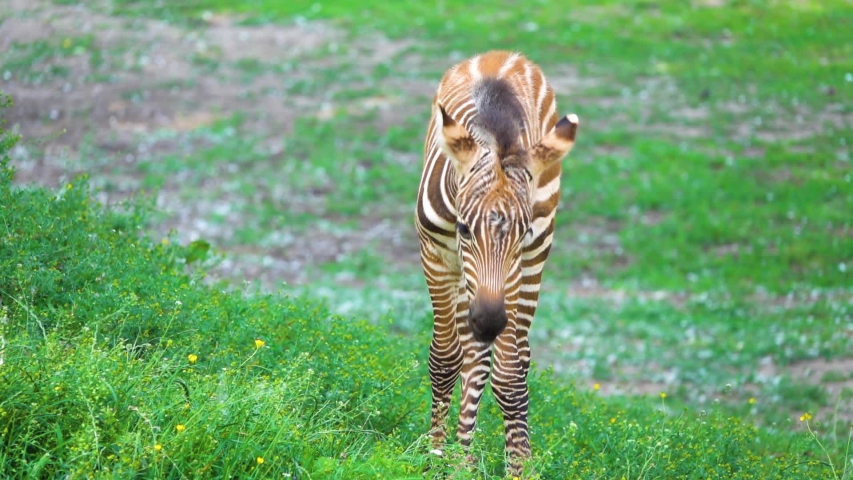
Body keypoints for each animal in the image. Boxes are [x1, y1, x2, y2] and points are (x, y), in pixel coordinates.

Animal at [414, 50, 580, 474]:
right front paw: (435, 457)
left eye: (522, 233)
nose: (489, 322)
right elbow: (446, 358)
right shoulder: (436, 256)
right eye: (463, 228)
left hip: (532, 264)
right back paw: (459, 457)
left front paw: (519, 468)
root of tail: (503, 56)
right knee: (471, 355)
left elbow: (508, 376)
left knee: (507, 359)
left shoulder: (520, 263)